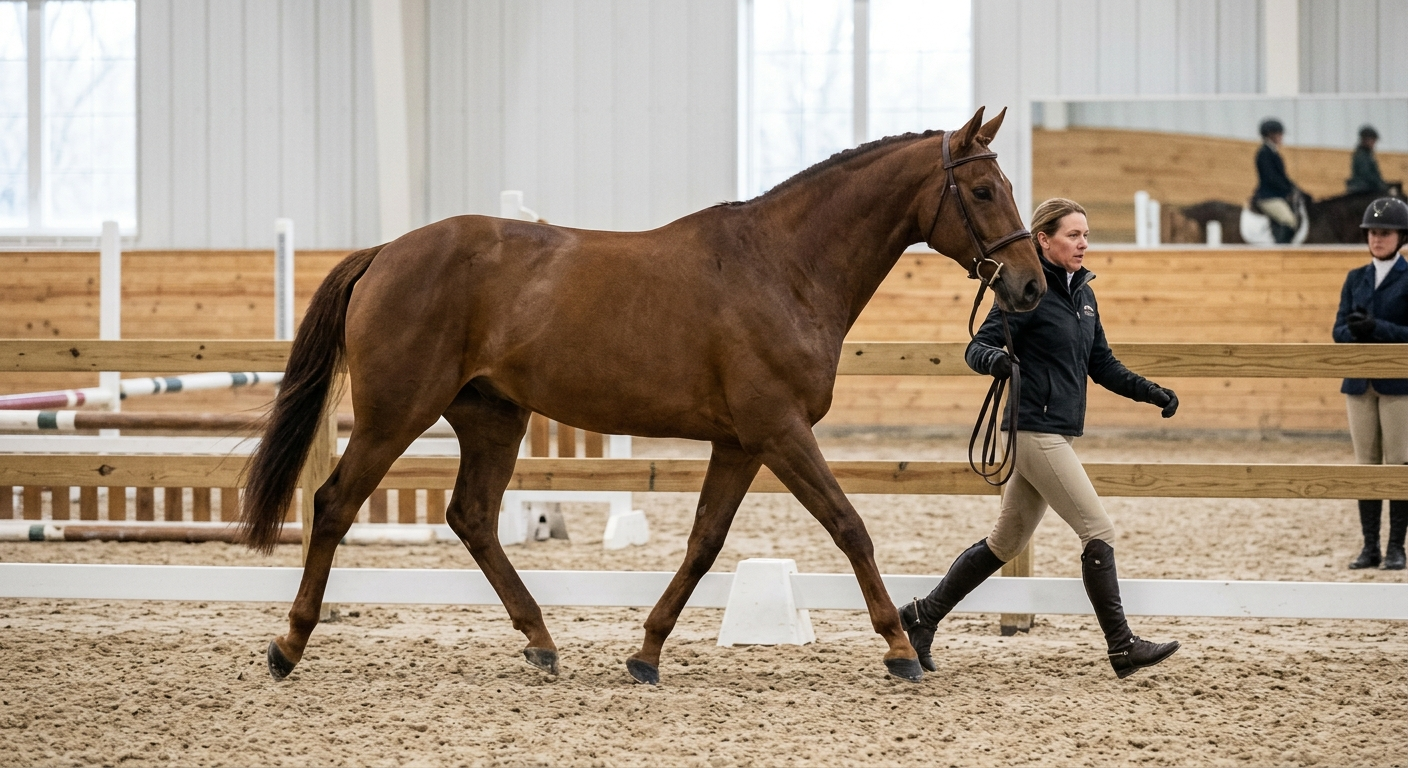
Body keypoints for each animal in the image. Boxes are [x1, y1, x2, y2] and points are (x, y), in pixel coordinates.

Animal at [237, 106, 1046, 686]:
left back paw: (541, 642)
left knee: (472, 518)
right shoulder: (779, 431)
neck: (782, 267)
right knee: (334, 505)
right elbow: (850, 526)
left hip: (493, 417)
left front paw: (647, 652)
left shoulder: (741, 442)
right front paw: (900, 647)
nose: (1032, 286)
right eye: (982, 191)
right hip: (396, 414)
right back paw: (288, 644)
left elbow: (704, 543)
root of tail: (386, 253)